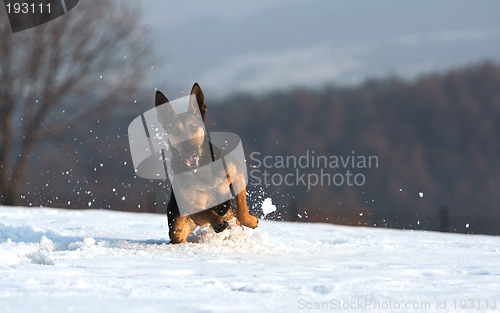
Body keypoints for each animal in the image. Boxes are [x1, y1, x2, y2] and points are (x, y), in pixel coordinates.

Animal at [155, 81, 258, 243]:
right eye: (176, 132)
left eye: (194, 127)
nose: (190, 151)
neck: (202, 167)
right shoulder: (193, 207)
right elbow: (207, 212)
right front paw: (218, 222)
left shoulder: (237, 175)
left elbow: (241, 209)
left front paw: (251, 221)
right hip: (177, 225)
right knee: (178, 234)